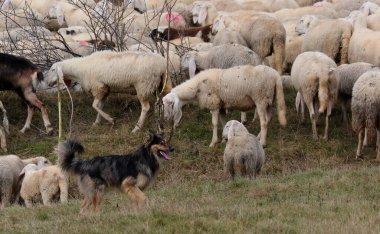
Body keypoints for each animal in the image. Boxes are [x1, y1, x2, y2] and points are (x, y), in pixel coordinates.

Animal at [45, 50, 174, 133]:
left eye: (52, 69)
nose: (48, 83)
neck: (79, 70)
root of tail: (162, 65)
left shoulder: (98, 87)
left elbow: (94, 105)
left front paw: (110, 119)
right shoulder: (105, 90)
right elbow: (99, 106)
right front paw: (96, 123)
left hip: (143, 85)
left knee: (146, 107)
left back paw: (137, 128)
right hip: (161, 85)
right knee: (162, 102)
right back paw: (160, 122)